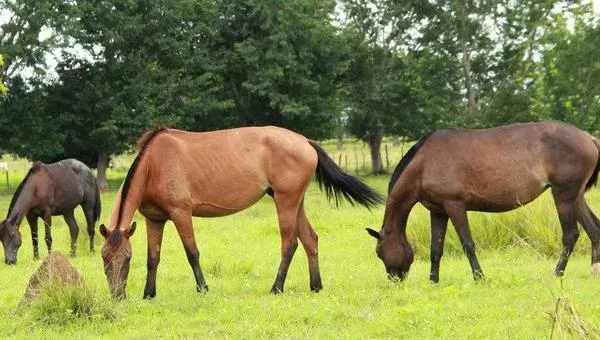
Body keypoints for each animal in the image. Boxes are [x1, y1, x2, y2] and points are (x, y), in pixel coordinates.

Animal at [99, 126, 382, 298]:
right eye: (104, 259)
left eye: (126, 259)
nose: (117, 296)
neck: (153, 164)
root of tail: (305, 141)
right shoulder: (154, 219)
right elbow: (153, 258)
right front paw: (149, 294)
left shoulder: (181, 214)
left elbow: (192, 253)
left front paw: (203, 289)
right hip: (296, 202)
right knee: (310, 240)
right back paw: (316, 286)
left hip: (286, 201)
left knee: (289, 244)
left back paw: (276, 288)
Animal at [364, 121, 600, 282]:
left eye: (379, 253)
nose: (395, 281)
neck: (424, 165)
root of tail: (589, 138)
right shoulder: (438, 211)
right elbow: (435, 248)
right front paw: (433, 281)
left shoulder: (455, 206)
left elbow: (468, 244)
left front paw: (479, 278)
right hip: (576, 197)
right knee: (594, 229)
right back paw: (594, 269)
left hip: (564, 195)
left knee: (571, 235)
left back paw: (557, 273)